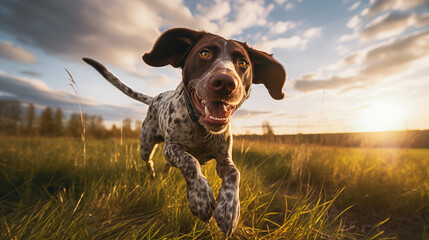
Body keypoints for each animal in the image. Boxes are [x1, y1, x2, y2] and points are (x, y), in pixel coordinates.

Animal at [82, 28, 286, 236]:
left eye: (243, 62)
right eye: (205, 53)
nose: (226, 82)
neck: (202, 129)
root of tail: (154, 98)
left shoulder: (224, 159)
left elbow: (234, 174)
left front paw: (230, 209)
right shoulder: (172, 148)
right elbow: (190, 162)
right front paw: (200, 197)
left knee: (166, 165)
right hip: (146, 146)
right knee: (149, 162)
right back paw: (153, 177)